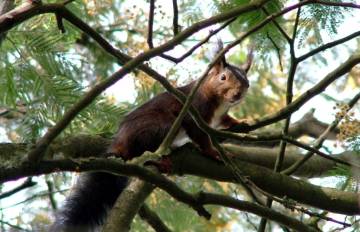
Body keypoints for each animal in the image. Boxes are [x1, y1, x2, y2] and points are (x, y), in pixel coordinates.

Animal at [50, 48, 253, 231]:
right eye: (223, 78)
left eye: (246, 82)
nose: (237, 94)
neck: (219, 102)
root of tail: (121, 141)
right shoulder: (194, 112)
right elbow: (201, 136)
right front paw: (214, 152)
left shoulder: (218, 117)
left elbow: (225, 122)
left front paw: (241, 122)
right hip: (160, 128)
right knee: (143, 152)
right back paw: (160, 160)